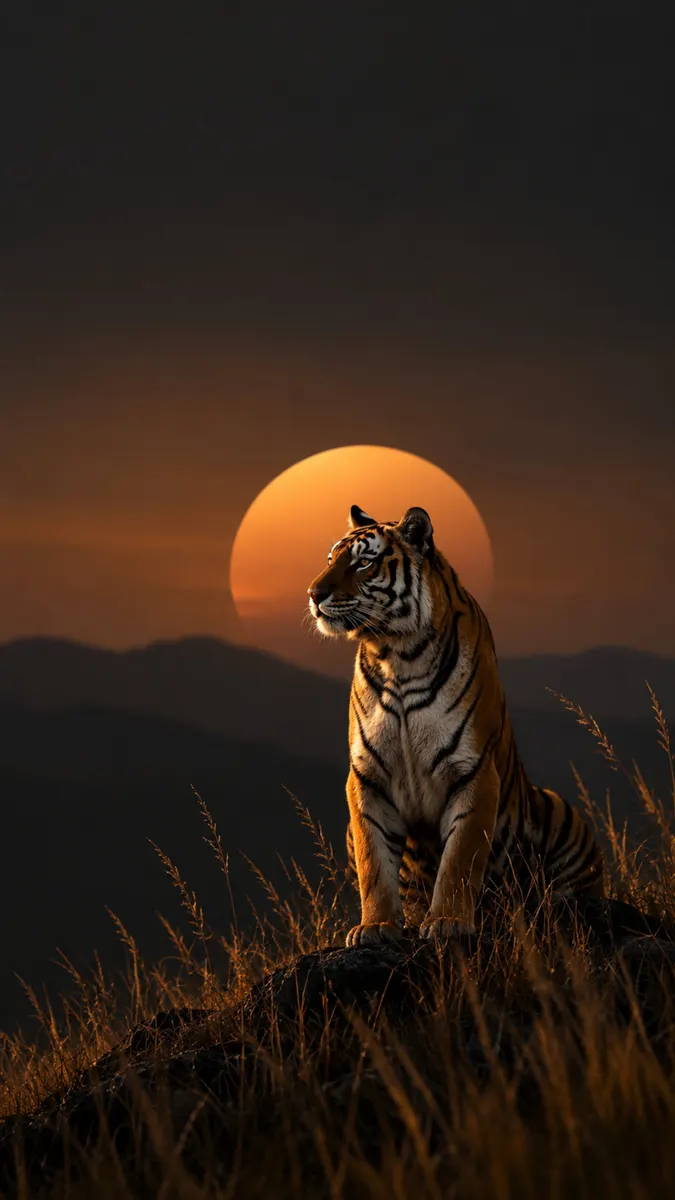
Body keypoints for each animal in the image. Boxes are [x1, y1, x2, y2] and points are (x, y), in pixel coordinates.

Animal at [307, 504, 604, 948]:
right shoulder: (366, 777)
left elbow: (459, 858)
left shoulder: (473, 770)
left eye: (363, 562)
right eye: (331, 560)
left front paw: (447, 921)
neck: (397, 655)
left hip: (563, 819)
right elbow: (373, 862)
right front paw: (376, 926)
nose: (314, 594)